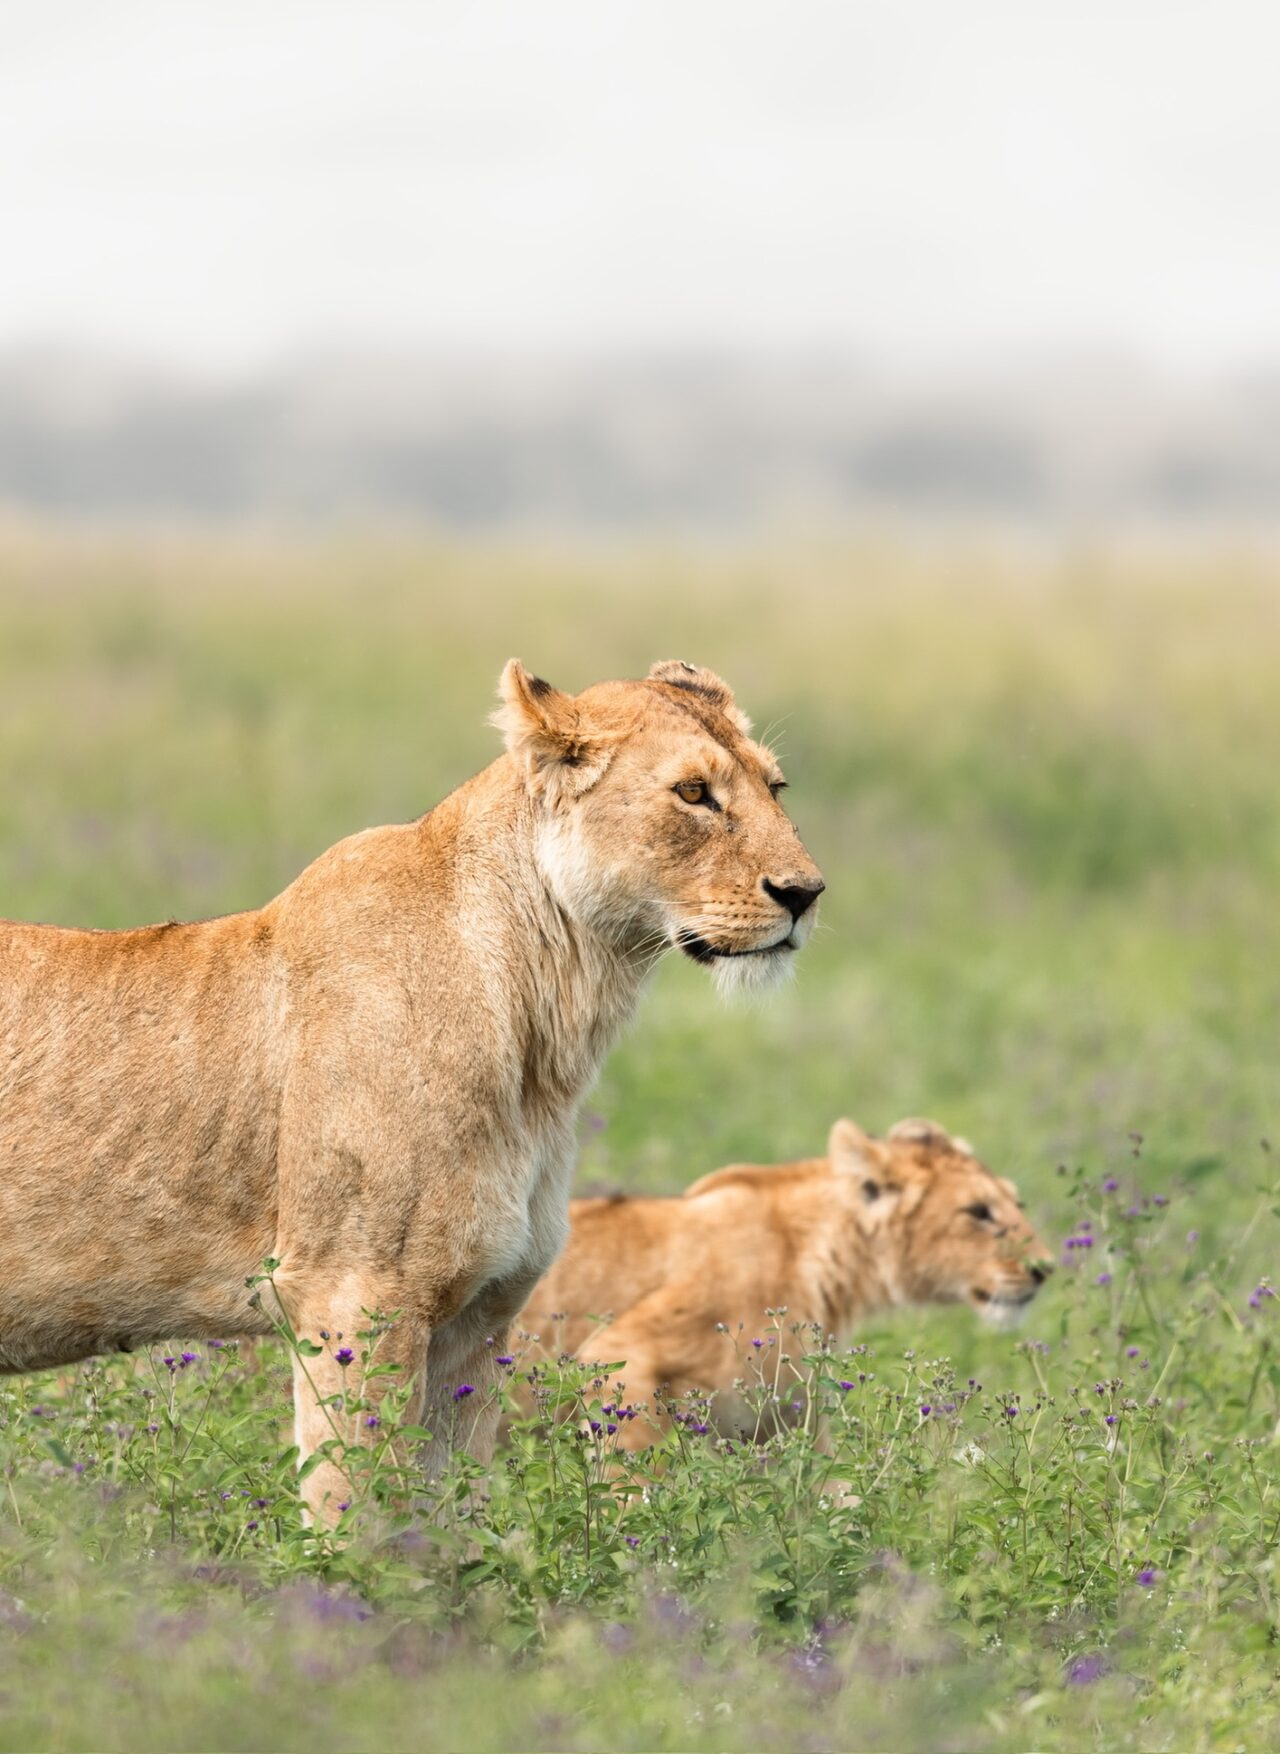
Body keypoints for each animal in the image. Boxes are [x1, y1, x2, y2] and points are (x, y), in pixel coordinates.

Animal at [0, 658, 822, 1519]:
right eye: (694, 793)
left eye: (776, 786)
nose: (806, 893)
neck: (552, 1019)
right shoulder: (351, 1294)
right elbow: (352, 1514)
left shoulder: (477, 1317)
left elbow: (448, 1520)